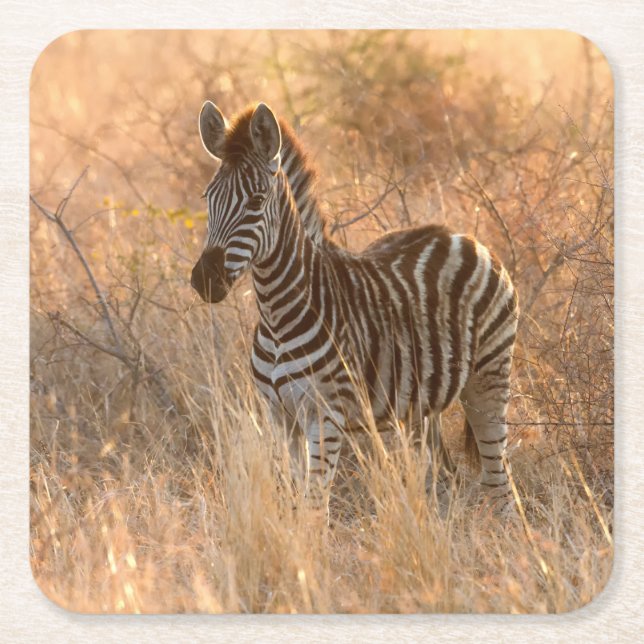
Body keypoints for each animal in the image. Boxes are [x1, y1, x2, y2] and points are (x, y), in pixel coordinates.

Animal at [191, 101, 519, 517]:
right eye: (207, 198)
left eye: (255, 202)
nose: (204, 280)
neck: (277, 316)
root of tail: (464, 236)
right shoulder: (280, 417)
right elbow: (295, 501)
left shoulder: (326, 418)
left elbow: (314, 508)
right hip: (419, 407)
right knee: (442, 477)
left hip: (489, 377)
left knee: (500, 483)